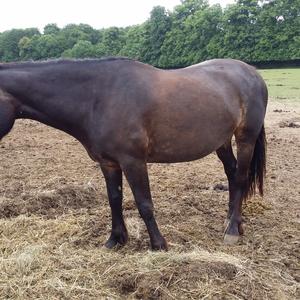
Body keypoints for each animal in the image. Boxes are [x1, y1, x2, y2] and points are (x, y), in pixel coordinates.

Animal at [0, 57, 268, 250]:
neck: (98, 97)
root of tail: (252, 72)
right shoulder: (108, 163)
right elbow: (114, 199)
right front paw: (115, 240)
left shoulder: (133, 161)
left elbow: (144, 203)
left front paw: (158, 244)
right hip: (221, 141)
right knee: (232, 175)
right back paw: (233, 222)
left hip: (245, 138)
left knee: (241, 177)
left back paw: (232, 230)